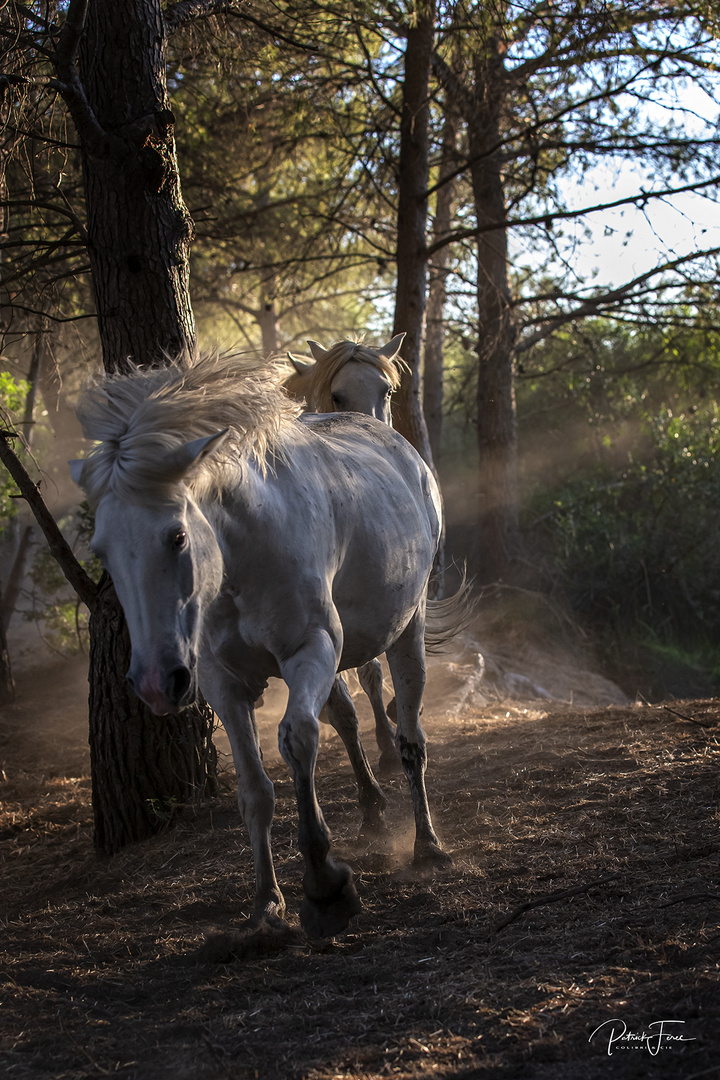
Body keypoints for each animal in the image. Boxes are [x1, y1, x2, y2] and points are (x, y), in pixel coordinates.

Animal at [73, 347, 453, 937]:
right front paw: (266, 902)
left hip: (406, 628)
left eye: (177, 537)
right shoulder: (222, 684)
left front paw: (324, 884)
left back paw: (427, 845)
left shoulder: (311, 651)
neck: (240, 556)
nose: (156, 683)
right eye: (102, 550)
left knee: (411, 734)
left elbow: (298, 740)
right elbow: (255, 790)